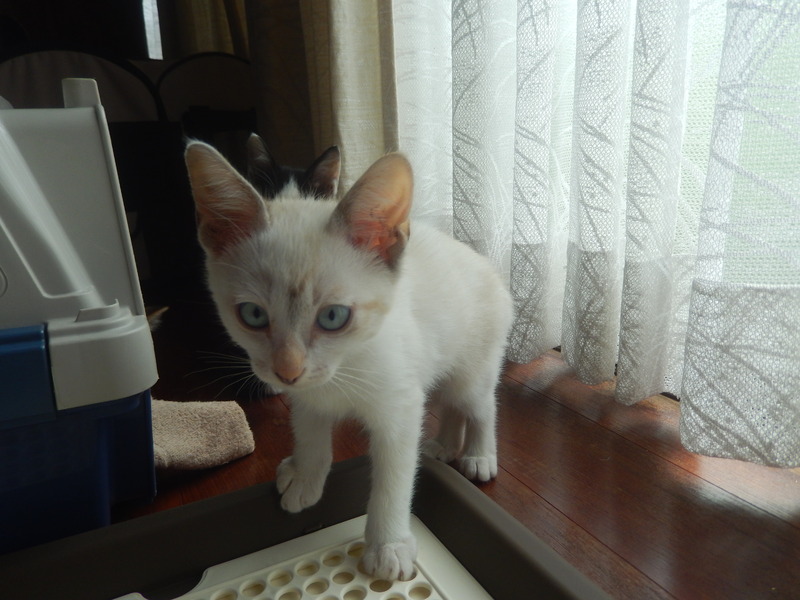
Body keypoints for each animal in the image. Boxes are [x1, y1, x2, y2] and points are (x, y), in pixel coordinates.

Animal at [184, 141, 514, 581]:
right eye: (252, 315)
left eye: (333, 317)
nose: (287, 370)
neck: (340, 372)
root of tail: (484, 262)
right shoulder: (306, 396)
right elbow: (309, 432)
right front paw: (305, 476)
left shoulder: (400, 405)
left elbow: (394, 478)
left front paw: (388, 545)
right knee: (448, 401)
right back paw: (442, 445)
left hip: (474, 364)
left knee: (479, 404)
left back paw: (478, 455)